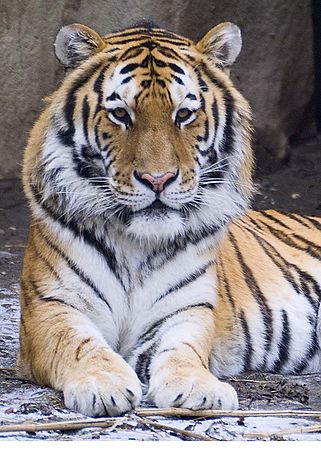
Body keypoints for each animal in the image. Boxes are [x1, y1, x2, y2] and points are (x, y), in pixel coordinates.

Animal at [18, 20, 320, 414]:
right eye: (120, 114)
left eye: (184, 115)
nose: (157, 179)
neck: (135, 243)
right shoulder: (49, 306)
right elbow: (77, 345)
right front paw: (104, 384)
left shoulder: (188, 308)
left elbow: (182, 349)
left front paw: (197, 387)